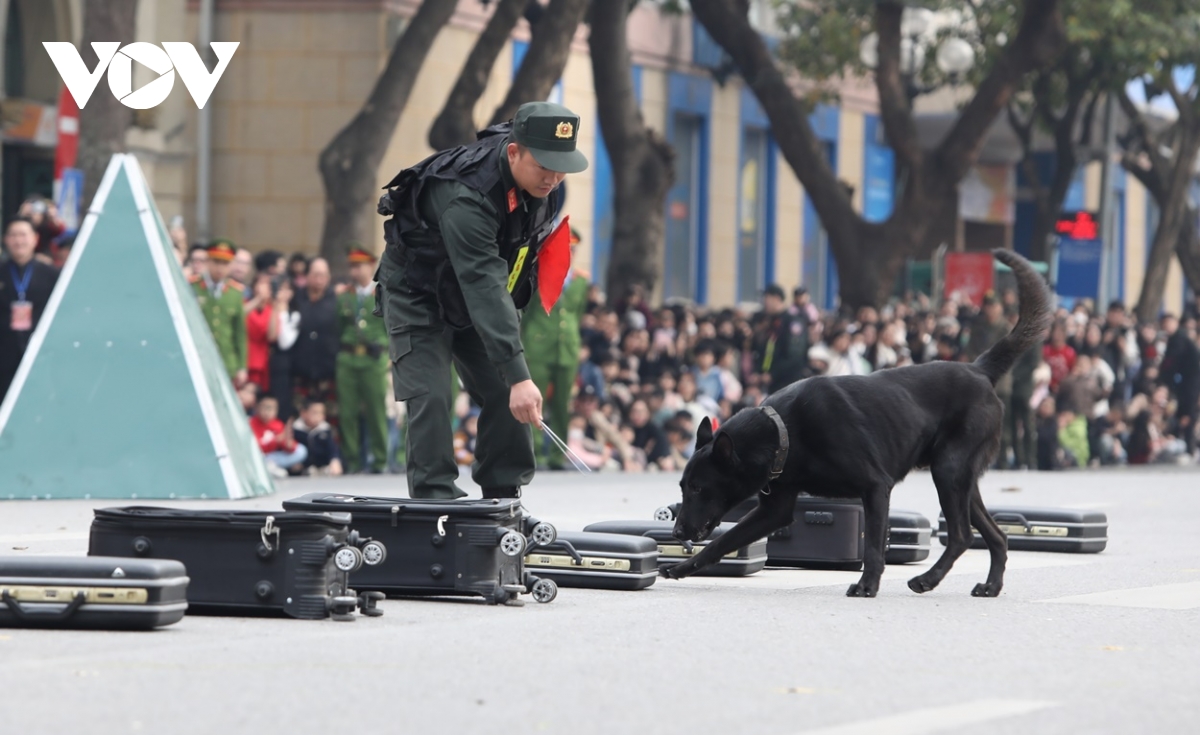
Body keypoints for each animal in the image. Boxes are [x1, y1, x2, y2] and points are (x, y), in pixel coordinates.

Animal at [667, 248, 1051, 598]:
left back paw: (927, 579)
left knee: (961, 535)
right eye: (682, 487)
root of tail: (979, 369)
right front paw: (684, 567)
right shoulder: (774, 511)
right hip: (961, 481)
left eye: (699, 488)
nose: (676, 533)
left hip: (948, 470)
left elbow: (873, 547)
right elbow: (723, 541)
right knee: (996, 536)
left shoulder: (876, 488)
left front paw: (868, 585)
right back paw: (991, 585)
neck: (783, 432)